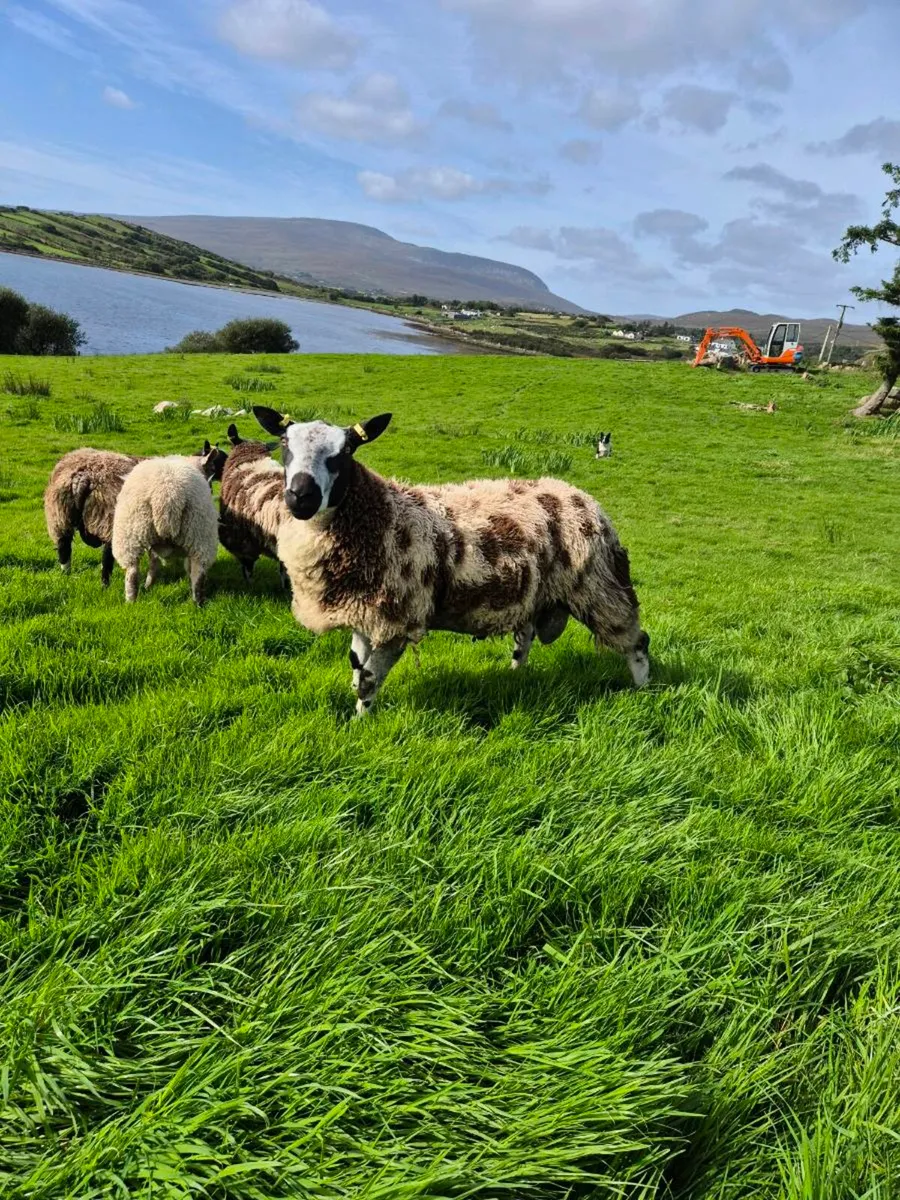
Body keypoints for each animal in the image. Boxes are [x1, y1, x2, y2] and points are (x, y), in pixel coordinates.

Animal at [44, 442, 226, 586]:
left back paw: (67, 576)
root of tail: (84, 477)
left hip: (59, 515)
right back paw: (105, 584)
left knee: (64, 548)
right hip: (110, 518)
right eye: (218, 462)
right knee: (107, 555)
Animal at [111, 455, 221, 604]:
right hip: (199, 534)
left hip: (130, 535)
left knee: (132, 575)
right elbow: (155, 564)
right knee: (198, 574)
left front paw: (148, 584)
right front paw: (149, 584)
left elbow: (154, 563)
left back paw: (131, 602)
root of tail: (167, 494)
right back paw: (197, 602)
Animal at [252, 405, 650, 717]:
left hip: (601, 588)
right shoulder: (366, 613)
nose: (300, 497)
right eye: (284, 444)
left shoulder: (397, 619)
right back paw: (514, 675)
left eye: (347, 450)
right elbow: (355, 667)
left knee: (637, 641)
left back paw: (643, 690)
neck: (382, 513)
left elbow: (367, 680)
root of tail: (582, 497)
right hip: (540, 595)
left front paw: (359, 725)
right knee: (525, 639)